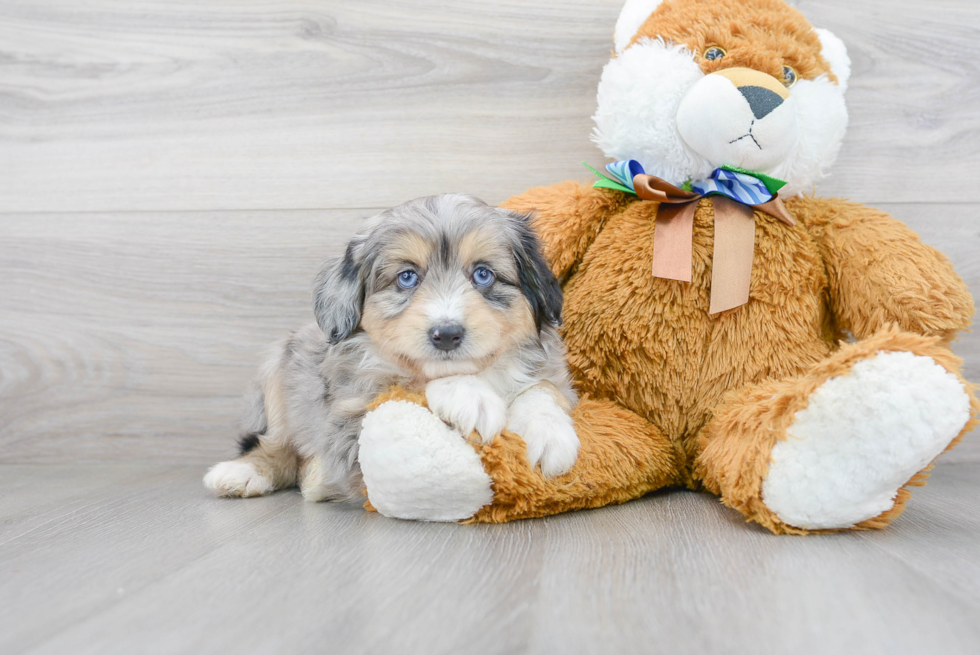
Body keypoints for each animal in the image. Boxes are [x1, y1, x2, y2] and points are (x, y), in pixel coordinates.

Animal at [203, 195, 580, 502]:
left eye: (483, 275)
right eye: (407, 277)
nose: (447, 334)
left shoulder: (558, 379)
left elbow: (541, 388)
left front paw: (548, 432)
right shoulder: (350, 414)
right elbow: (409, 383)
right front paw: (470, 397)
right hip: (280, 366)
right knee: (277, 446)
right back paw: (245, 473)